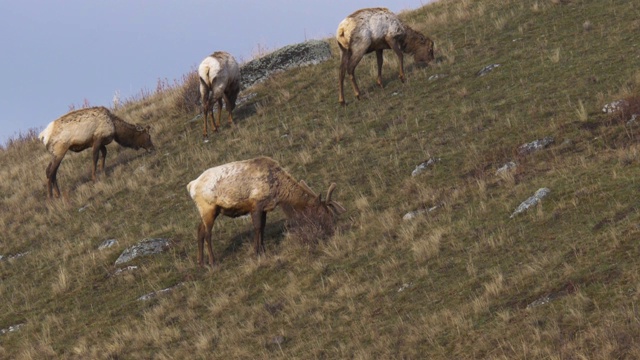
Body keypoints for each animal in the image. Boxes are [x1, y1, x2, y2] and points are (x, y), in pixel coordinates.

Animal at [185, 156, 344, 266]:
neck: (278, 191)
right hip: (208, 208)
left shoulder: (264, 208)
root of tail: (191, 186)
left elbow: (262, 227)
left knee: (199, 230)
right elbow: (257, 227)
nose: (332, 228)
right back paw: (212, 262)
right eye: (322, 213)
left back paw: (201, 262)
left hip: (208, 211)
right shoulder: (256, 204)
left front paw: (263, 249)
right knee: (207, 234)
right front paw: (257, 251)